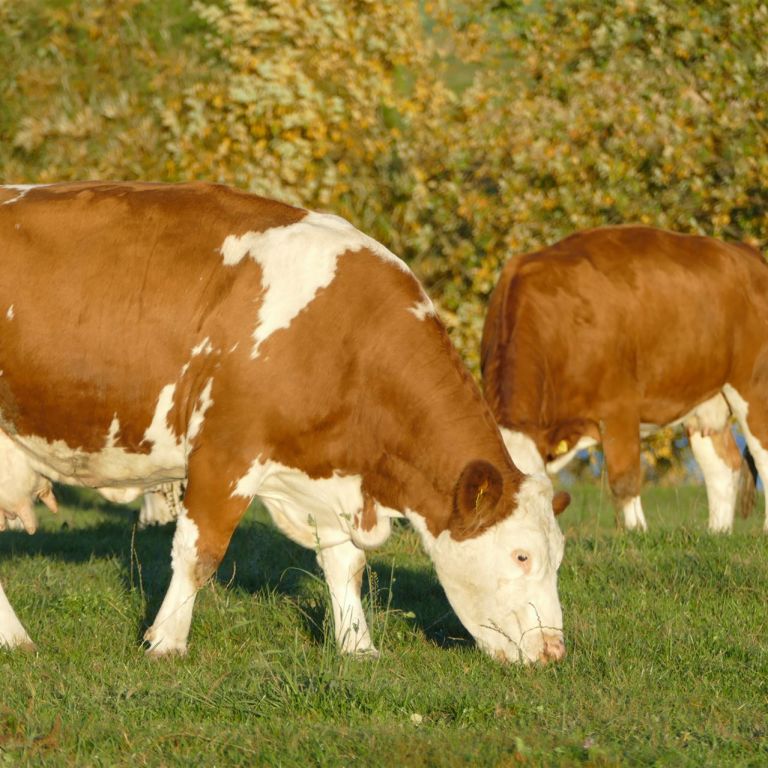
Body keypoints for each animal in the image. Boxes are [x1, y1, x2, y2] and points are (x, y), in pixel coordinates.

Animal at [0, 181, 569, 663]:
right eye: (522, 556)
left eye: (559, 555)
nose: (554, 652)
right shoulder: (224, 454)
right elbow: (199, 553)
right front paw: (166, 641)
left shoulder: (330, 471)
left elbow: (346, 565)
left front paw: (357, 646)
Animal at [481, 225, 768, 533]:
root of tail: (747, 252)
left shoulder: (619, 406)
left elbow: (624, 480)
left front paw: (635, 532)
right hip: (707, 396)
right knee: (722, 465)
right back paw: (717, 532)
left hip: (753, 385)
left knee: (761, 453)